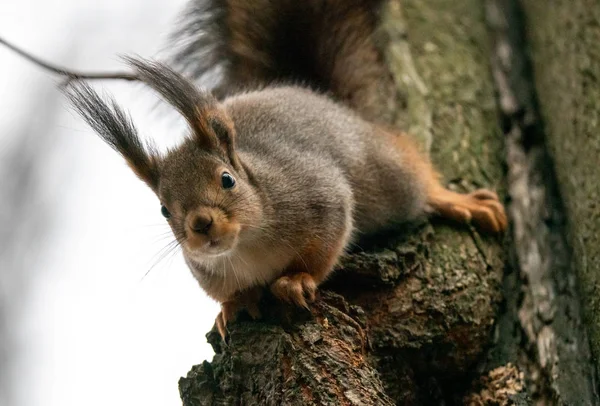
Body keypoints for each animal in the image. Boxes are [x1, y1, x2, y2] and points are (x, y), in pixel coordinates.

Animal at [64, 0, 506, 340]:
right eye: (163, 209)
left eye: (227, 179)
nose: (201, 224)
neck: (246, 246)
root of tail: (324, 99)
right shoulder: (206, 270)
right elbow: (226, 293)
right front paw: (233, 304)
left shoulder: (321, 196)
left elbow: (324, 249)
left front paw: (296, 279)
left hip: (382, 177)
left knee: (414, 178)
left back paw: (458, 201)